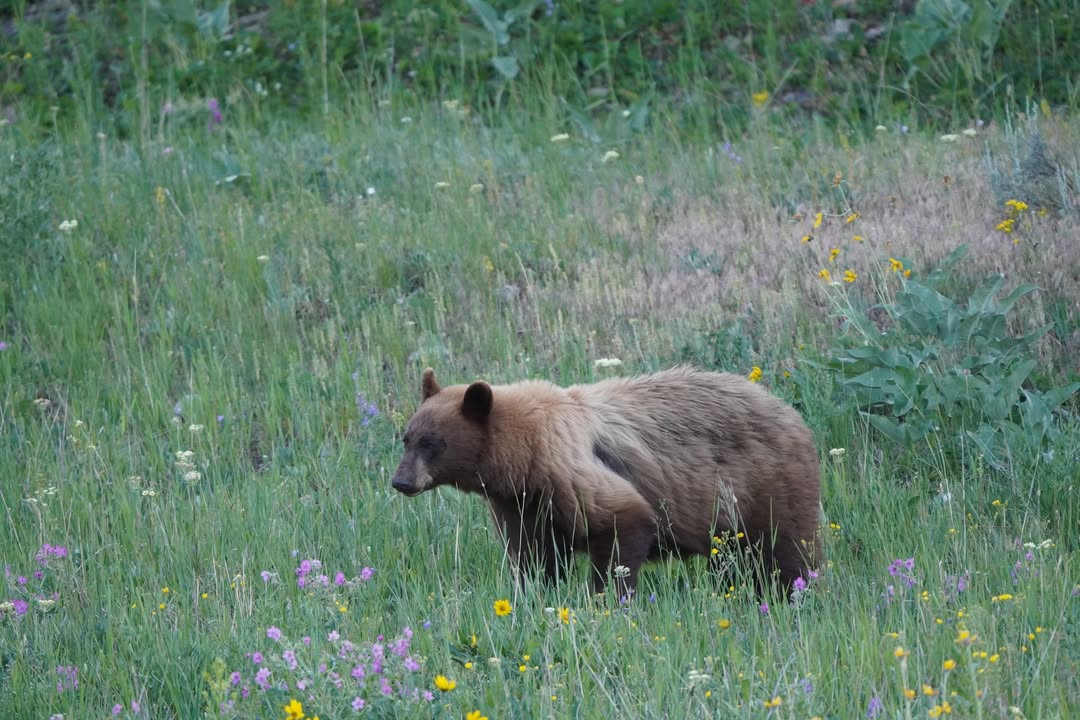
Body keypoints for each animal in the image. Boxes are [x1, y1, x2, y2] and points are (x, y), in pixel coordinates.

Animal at [390, 366, 821, 599]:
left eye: (432, 443)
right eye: (407, 438)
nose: (400, 481)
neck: (525, 451)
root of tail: (793, 415)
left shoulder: (568, 470)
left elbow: (621, 523)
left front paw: (606, 598)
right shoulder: (519, 502)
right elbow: (531, 554)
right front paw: (534, 593)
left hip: (768, 486)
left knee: (787, 550)